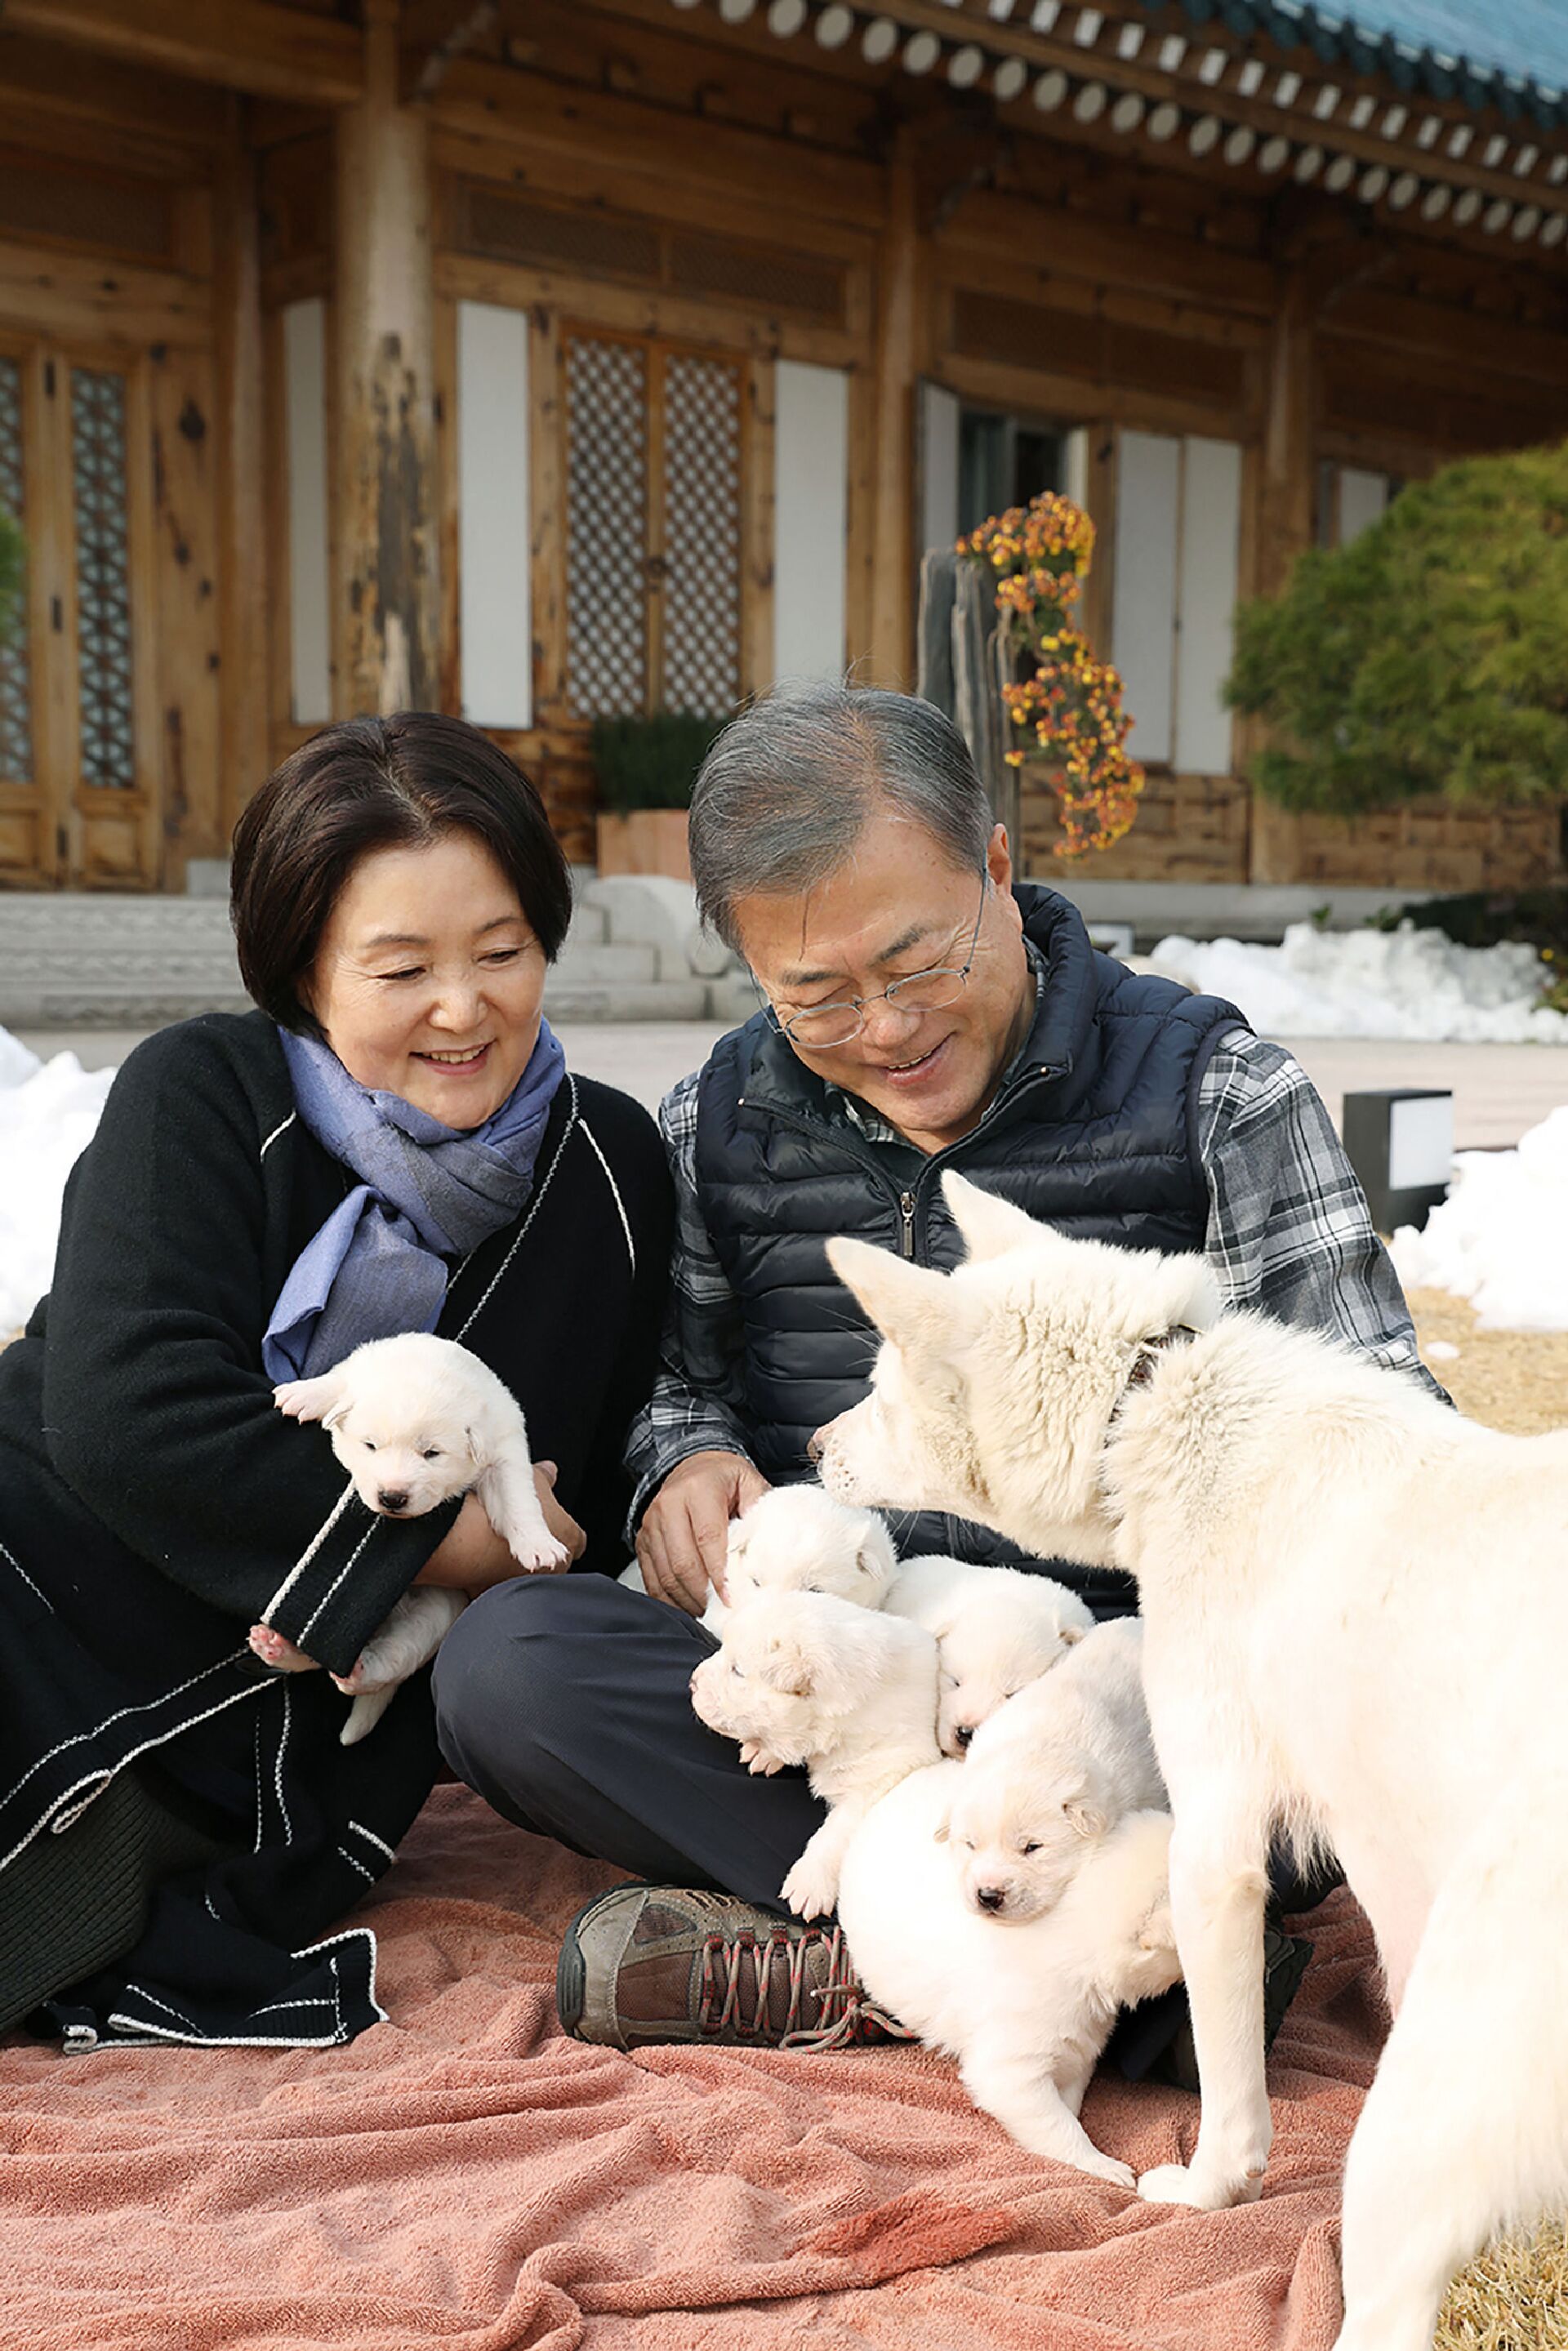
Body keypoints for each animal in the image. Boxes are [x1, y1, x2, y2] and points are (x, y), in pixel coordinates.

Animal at [257, 1335, 571, 1739]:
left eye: (432, 1453)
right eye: (370, 1445)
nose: (392, 1497)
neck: (430, 1371)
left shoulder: (504, 1449)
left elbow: (518, 1497)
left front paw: (538, 1544)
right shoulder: (360, 1364)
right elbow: (338, 1383)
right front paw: (304, 1393)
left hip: (435, 1615)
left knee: (390, 1659)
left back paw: (349, 1669)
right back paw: (277, 1646)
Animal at [691, 1598, 940, 1927]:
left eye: (738, 1671)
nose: (692, 1682)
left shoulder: (882, 1776)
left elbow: (833, 1834)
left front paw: (808, 1885)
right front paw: (764, 1751)